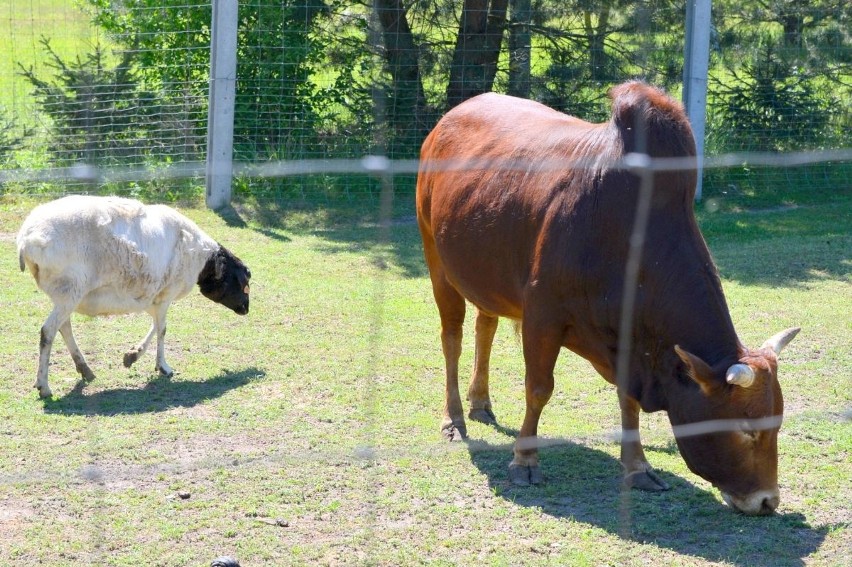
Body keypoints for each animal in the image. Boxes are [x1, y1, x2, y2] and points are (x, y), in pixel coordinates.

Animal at [16, 196, 250, 400]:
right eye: (244, 283)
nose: (245, 309)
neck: (202, 258)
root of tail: (27, 238)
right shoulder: (166, 294)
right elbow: (162, 330)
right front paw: (164, 367)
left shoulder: (152, 297)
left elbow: (156, 326)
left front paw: (132, 356)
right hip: (70, 290)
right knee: (48, 331)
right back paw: (44, 386)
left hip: (66, 294)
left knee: (63, 328)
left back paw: (85, 370)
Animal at [416, 82, 804, 516]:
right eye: (746, 428)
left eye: (778, 421)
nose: (767, 500)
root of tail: (449, 119)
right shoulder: (543, 317)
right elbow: (539, 388)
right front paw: (524, 460)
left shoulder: (629, 342)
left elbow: (627, 399)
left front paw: (638, 468)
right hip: (437, 261)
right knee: (453, 339)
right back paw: (454, 419)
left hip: (487, 275)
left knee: (486, 326)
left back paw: (480, 402)